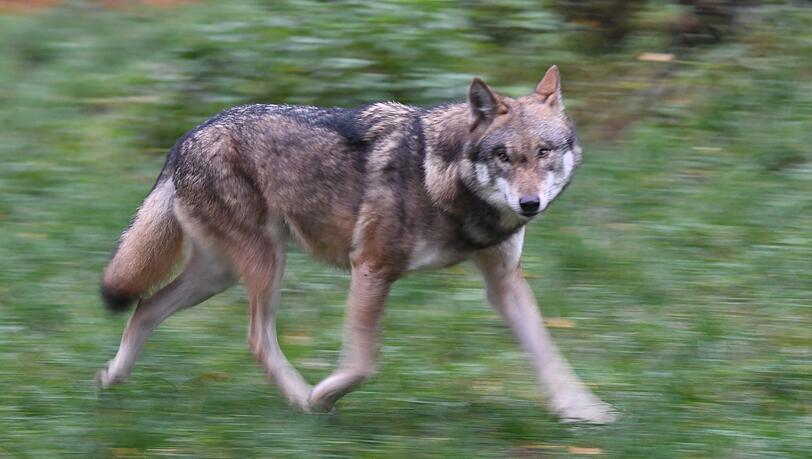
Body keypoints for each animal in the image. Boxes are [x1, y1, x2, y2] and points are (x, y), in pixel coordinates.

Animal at [97, 66, 616, 423]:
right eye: (505, 156)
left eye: (544, 152)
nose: (529, 203)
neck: (443, 179)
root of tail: (185, 138)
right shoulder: (371, 267)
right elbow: (364, 362)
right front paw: (323, 394)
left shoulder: (504, 282)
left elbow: (548, 352)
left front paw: (583, 411)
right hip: (264, 265)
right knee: (255, 339)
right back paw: (301, 400)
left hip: (219, 274)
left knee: (146, 306)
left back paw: (112, 378)